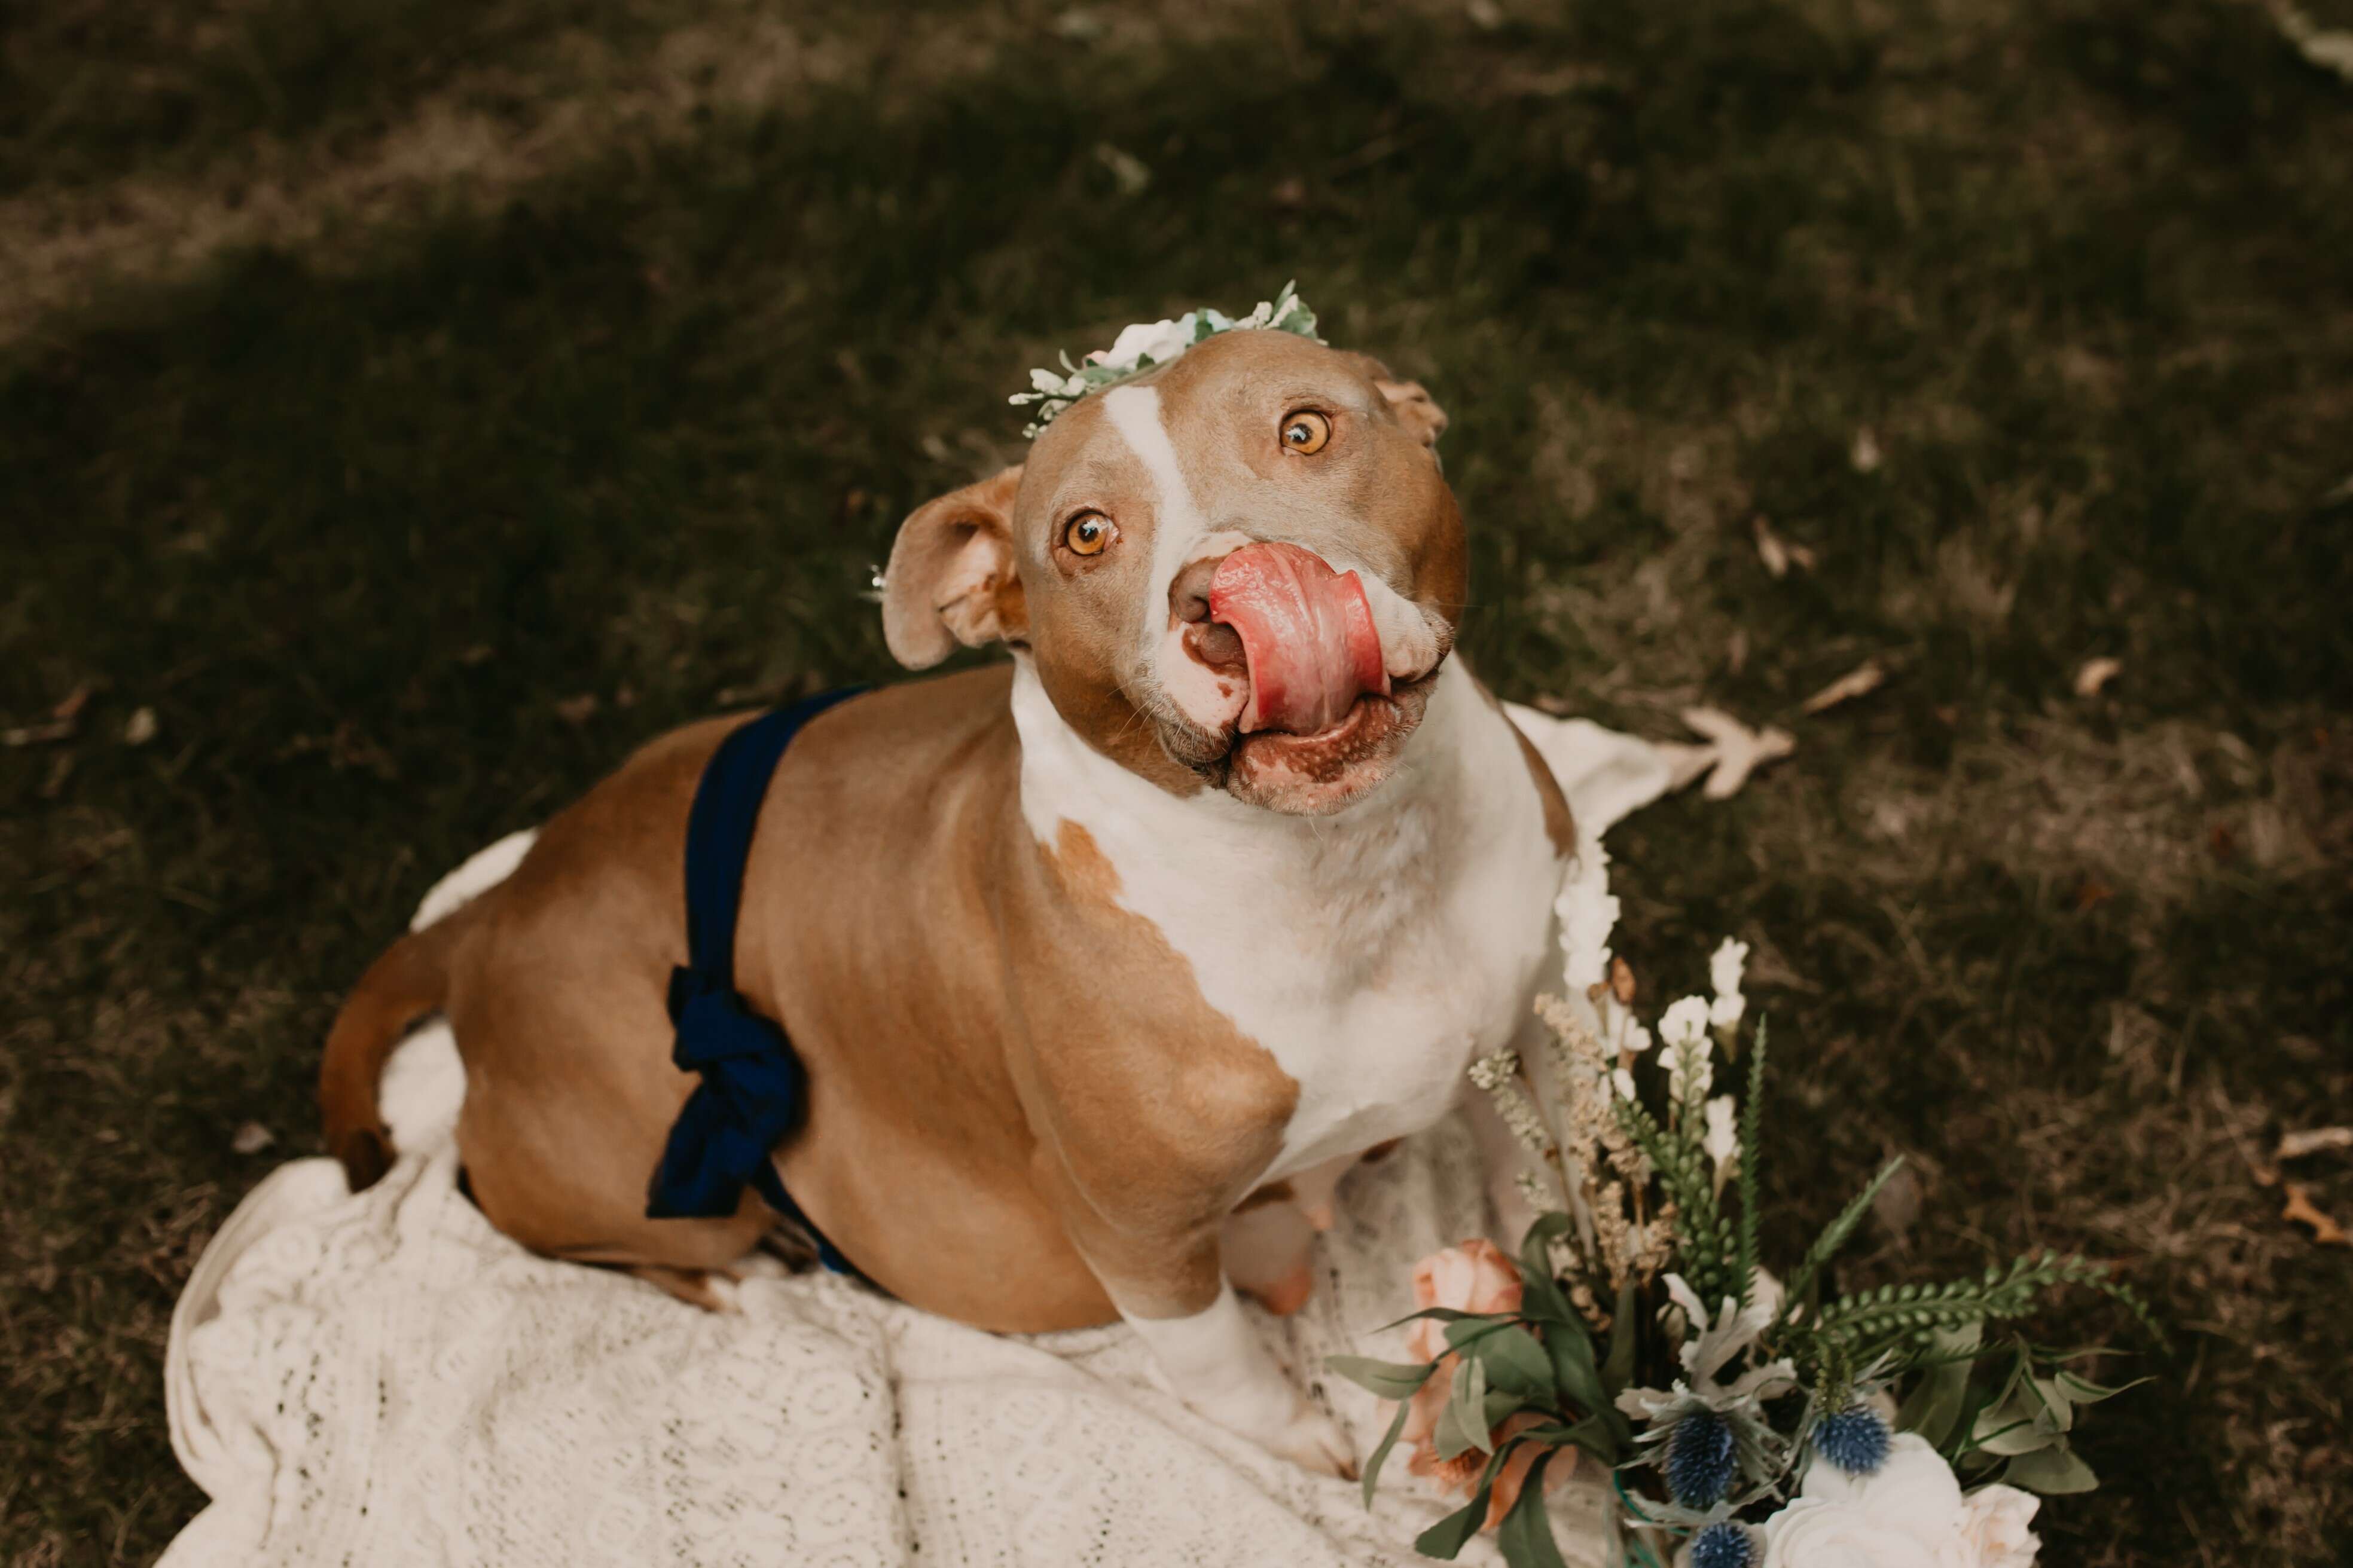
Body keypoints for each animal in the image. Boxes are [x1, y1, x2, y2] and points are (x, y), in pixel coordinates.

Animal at [313, 324, 1562, 1476]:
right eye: (1086, 534)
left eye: (1306, 430)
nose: (1235, 592)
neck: (1348, 866)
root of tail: (496, 906)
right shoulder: (1135, 1230)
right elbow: (1216, 1357)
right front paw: (1300, 1434)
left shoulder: (1539, 1040)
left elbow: (1545, 1189)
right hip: (637, 1160)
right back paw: (737, 1286)